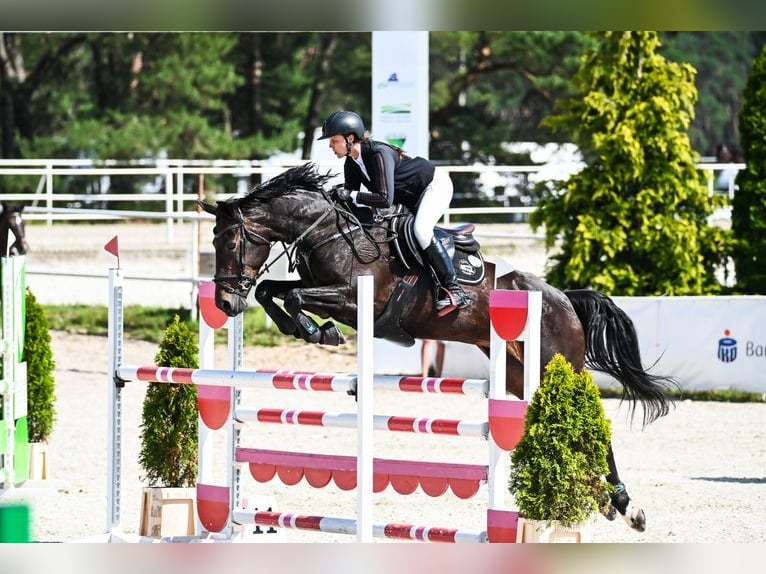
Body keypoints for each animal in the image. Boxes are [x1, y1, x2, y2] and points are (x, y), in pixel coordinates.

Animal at [199, 162, 676, 533]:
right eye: (213, 241)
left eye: (231, 242)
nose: (224, 303)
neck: (332, 232)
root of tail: (562, 298)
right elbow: (273, 291)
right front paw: (307, 329)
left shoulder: (357, 300)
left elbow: (295, 296)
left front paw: (322, 333)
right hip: (519, 373)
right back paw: (601, 498)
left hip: (557, 363)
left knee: (593, 420)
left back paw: (625, 506)